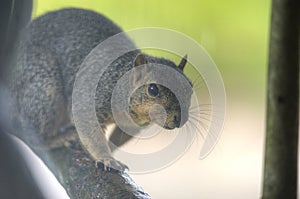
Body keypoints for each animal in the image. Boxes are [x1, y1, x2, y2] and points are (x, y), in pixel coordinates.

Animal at [7, 8, 195, 172]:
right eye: (153, 89)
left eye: (190, 87)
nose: (179, 119)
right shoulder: (91, 98)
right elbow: (91, 131)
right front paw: (107, 158)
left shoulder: (132, 126)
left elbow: (117, 138)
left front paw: (111, 152)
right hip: (44, 86)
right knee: (34, 134)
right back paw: (58, 138)